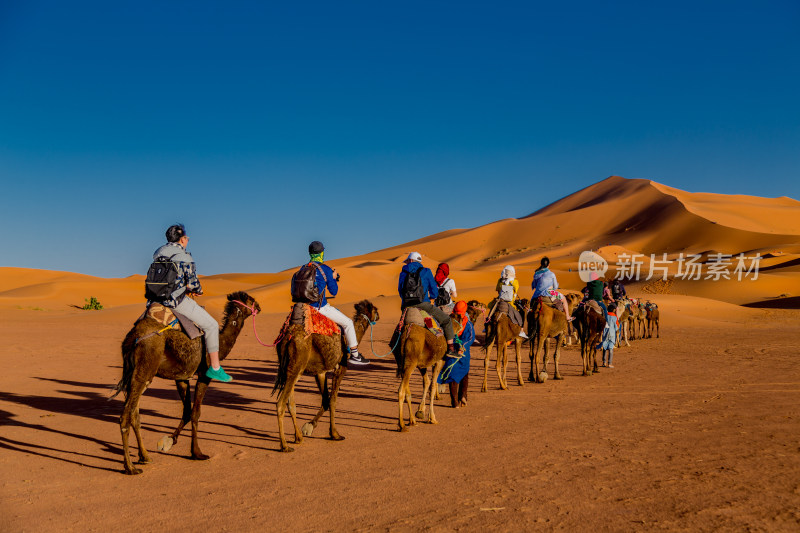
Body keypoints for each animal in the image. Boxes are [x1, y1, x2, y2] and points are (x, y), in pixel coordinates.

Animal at [109, 290, 258, 474]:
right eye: (251, 300)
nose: (259, 307)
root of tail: (133, 339)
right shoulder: (204, 375)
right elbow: (195, 413)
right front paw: (197, 453)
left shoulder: (182, 377)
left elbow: (186, 411)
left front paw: (168, 442)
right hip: (145, 370)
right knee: (126, 415)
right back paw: (130, 467)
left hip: (134, 374)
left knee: (134, 414)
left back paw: (145, 457)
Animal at [270, 300, 380, 448]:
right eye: (375, 309)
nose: (378, 316)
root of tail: (288, 337)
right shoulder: (341, 367)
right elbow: (333, 400)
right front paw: (335, 434)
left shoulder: (320, 372)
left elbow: (325, 400)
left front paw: (309, 426)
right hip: (297, 365)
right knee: (281, 403)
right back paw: (285, 446)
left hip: (290, 368)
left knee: (290, 402)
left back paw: (298, 437)